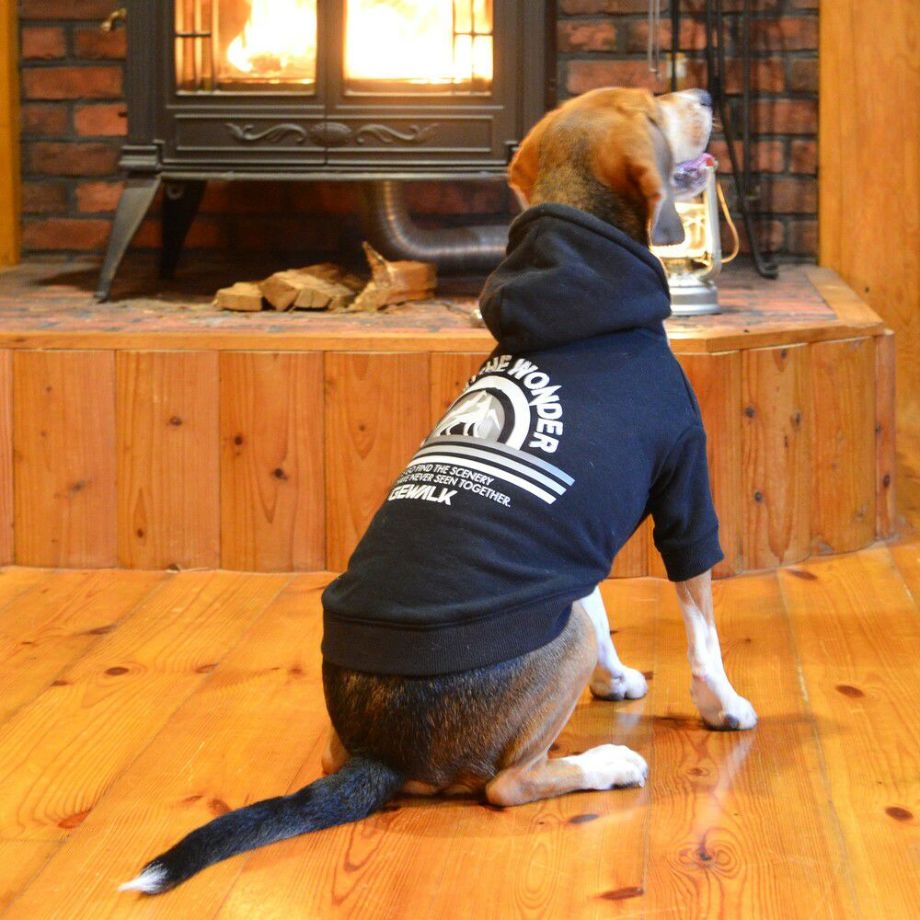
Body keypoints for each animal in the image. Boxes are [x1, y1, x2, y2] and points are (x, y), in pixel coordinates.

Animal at [121, 87, 757, 896]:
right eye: (654, 102)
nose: (703, 94)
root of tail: (383, 754)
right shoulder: (685, 488)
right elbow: (701, 624)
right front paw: (724, 707)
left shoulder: (573, 546)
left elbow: (604, 606)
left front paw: (617, 682)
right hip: (558, 646)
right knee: (507, 785)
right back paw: (606, 763)